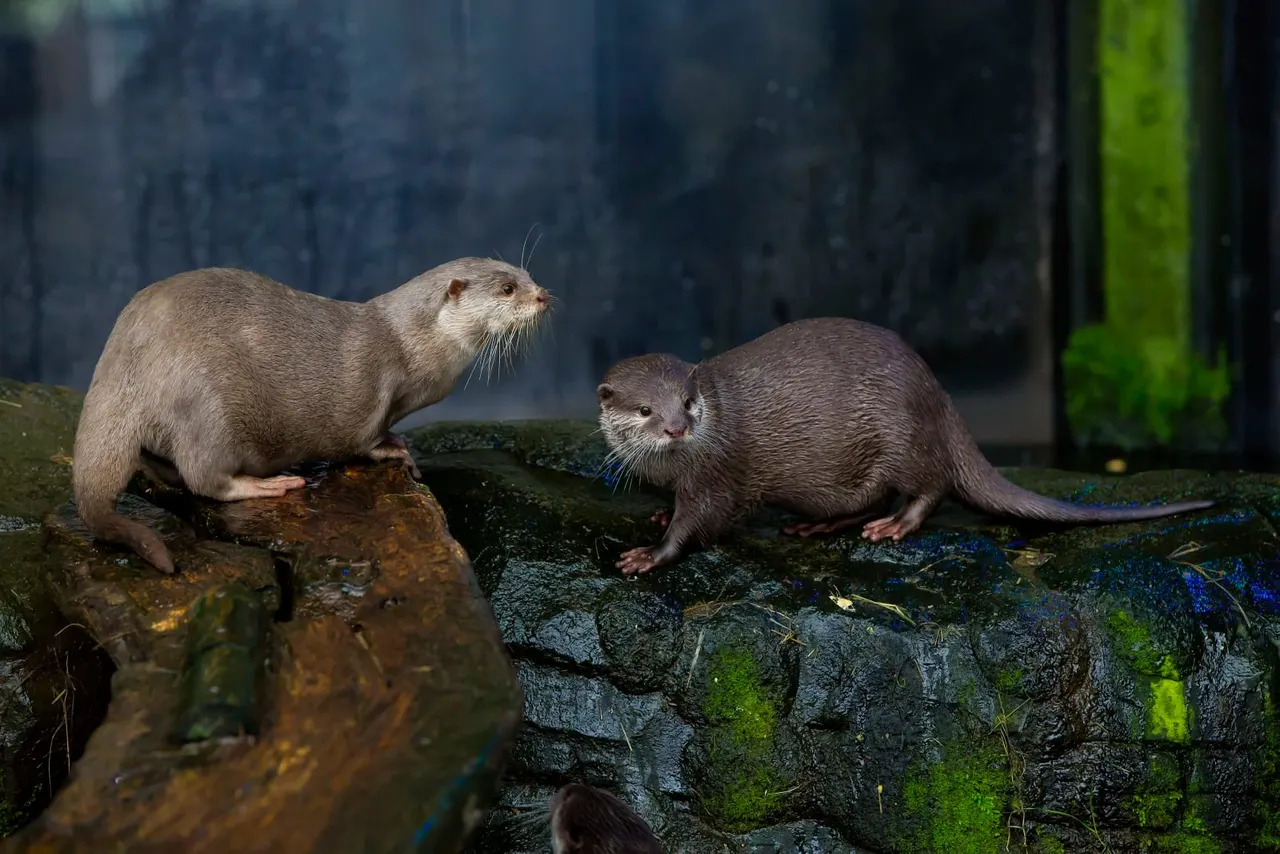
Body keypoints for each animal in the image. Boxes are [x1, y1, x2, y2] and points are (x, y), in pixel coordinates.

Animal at [73, 258, 550, 573]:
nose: (543, 295)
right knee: (203, 477)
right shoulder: (371, 389)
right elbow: (363, 435)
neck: (412, 344)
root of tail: (126, 356)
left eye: (528, 275)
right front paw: (393, 451)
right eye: (508, 288)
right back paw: (269, 484)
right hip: (206, 404)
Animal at [596, 317, 1214, 575]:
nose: (677, 429)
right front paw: (657, 515)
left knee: (930, 486)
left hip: (901, 434)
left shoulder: (717, 474)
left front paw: (650, 554)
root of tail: (938, 394)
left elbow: (701, 523)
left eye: (688, 401)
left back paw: (895, 526)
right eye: (646, 410)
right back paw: (820, 525)